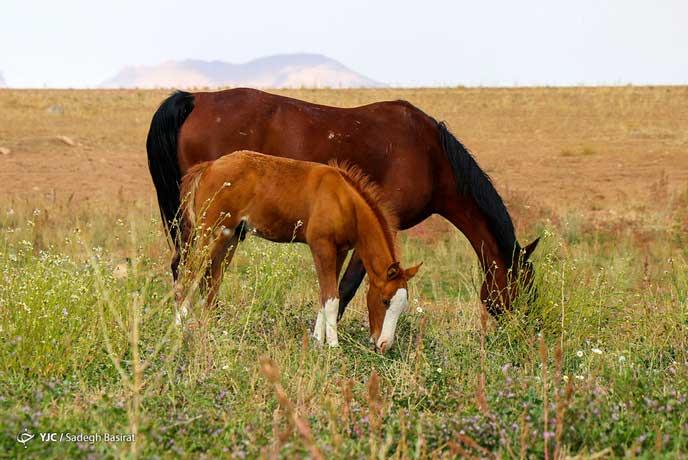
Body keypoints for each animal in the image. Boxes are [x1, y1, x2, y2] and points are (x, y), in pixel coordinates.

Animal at [148, 86, 540, 318]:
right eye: (523, 287)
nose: (522, 329)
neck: (431, 155)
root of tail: (196, 99)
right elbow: (349, 286)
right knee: (191, 270)